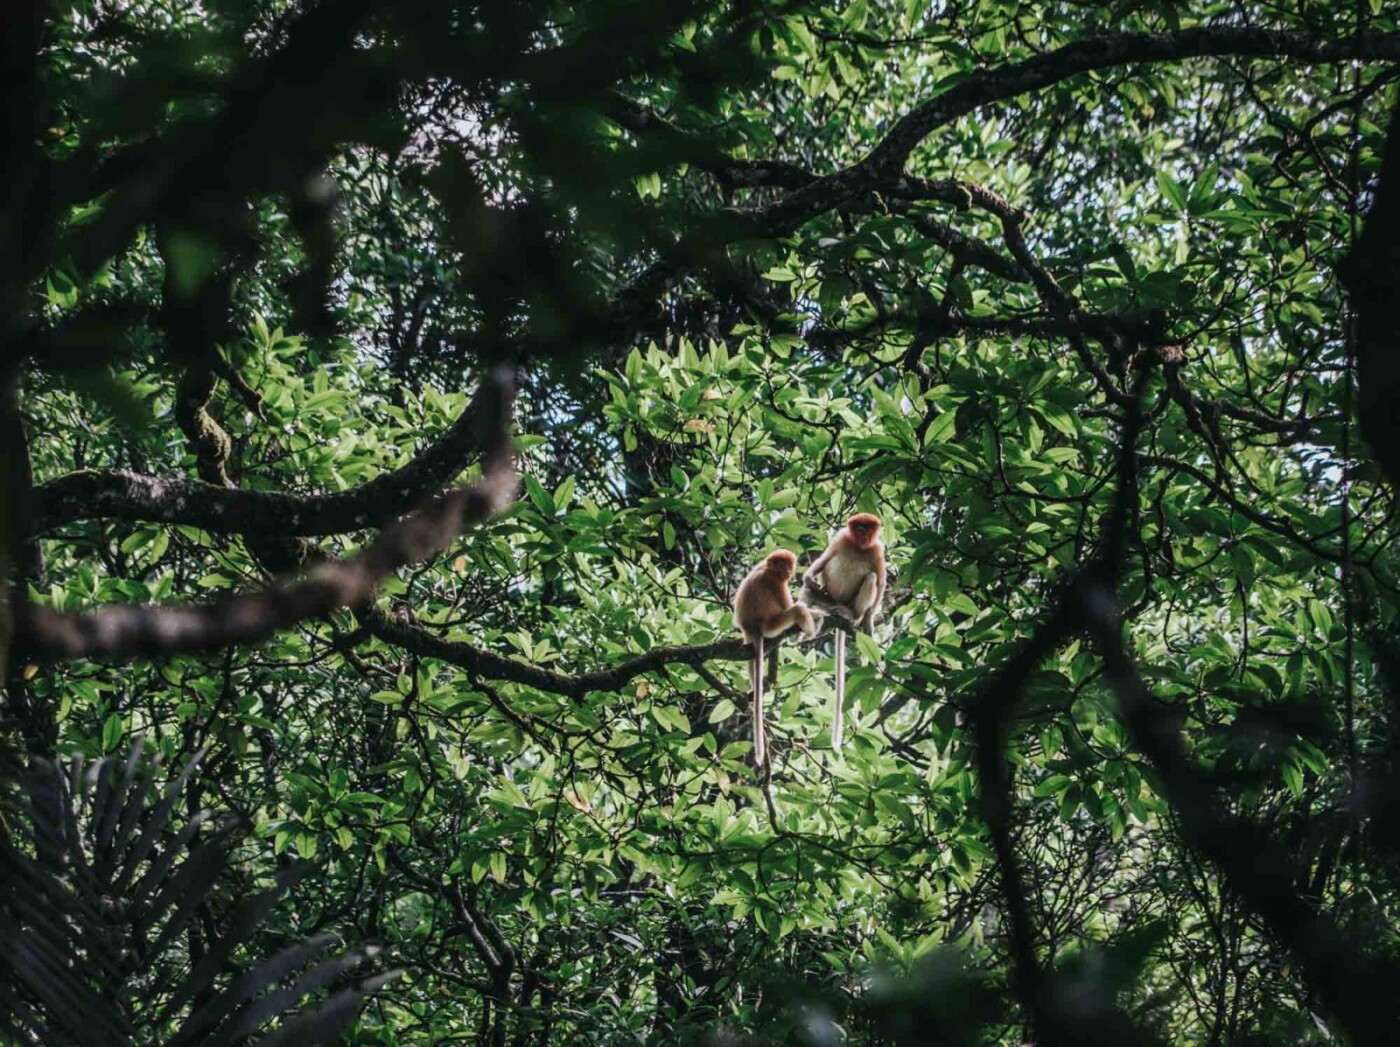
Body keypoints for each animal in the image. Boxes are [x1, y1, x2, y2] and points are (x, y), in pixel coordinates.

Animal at [733, 551, 817, 767]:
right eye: (780, 564)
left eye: (787, 564)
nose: (786, 570)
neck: (767, 568)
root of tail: (753, 628)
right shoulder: (775, 583)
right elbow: (790, 605)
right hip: (773, 624)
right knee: (797, 610)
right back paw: (806, 630)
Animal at [800, 515, 884, 750]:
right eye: (859, 526)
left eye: (867, 527)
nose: (863, 531)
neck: (859, 547)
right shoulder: (842, 538)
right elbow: (826, 558)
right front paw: (808, 576)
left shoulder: (877, 550)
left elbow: (880, 580)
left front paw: (868, 622)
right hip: (827, 598)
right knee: (811, 590)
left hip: (850, 602)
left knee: (871, 577)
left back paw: (853, 616)